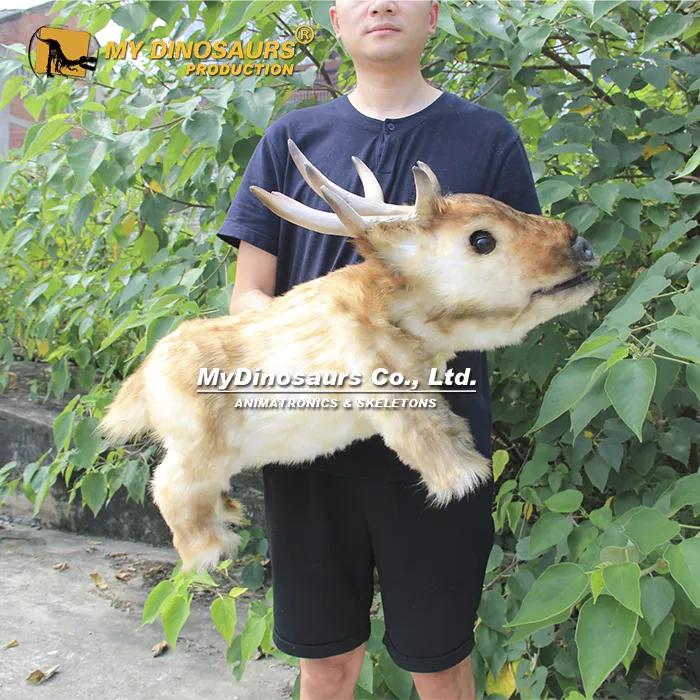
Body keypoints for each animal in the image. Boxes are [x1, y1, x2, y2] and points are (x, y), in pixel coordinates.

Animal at [99, 138, 599, 573]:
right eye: (482, 240)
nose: (583, 246)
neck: (392, 310)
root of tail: (146, 375)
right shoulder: (391, 394)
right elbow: (429, 441)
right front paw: (466, 481)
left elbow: (448, 425)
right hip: (197, 447)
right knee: (168, 486)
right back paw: (210, 548)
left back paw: (231, 510)